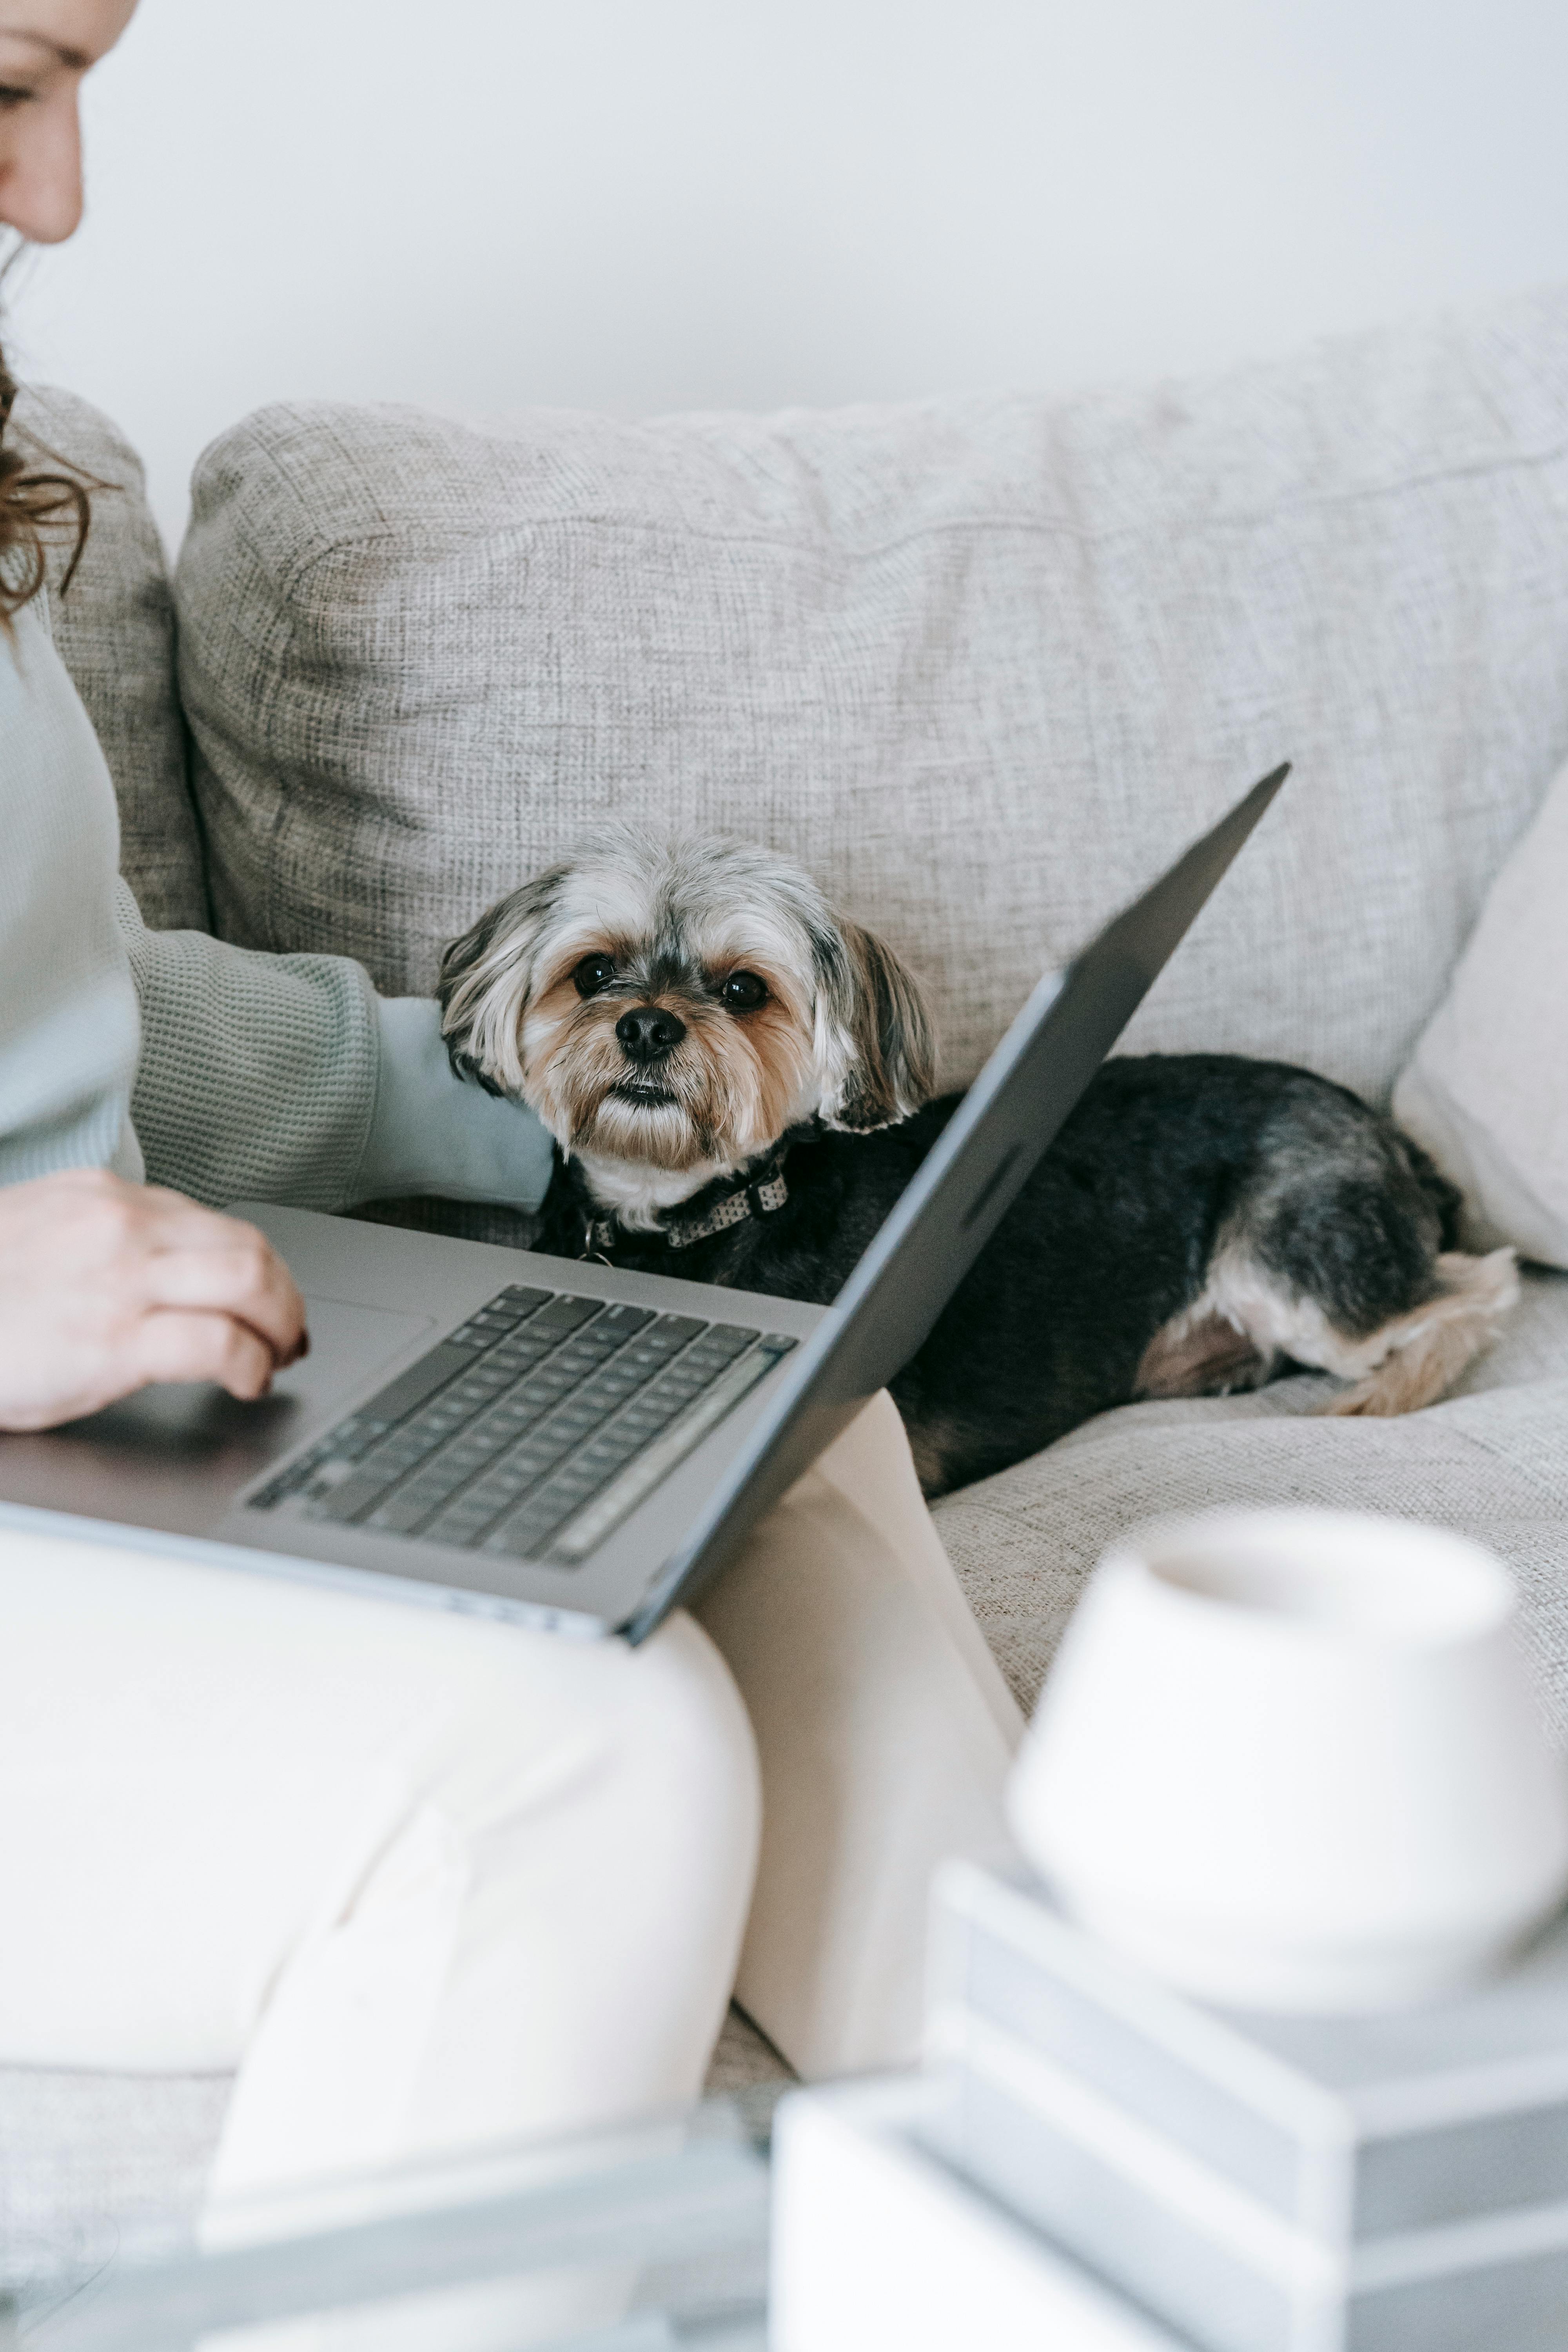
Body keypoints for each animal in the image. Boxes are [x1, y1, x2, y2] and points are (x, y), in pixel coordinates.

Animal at [439, 833, 1523, 1486]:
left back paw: (1383, 1391)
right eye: (592, 973)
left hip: (1292, 1263)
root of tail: (1378, 1126)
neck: (691, 1213)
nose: (648, 1028)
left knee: (1481, 1286)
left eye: (744, 989)